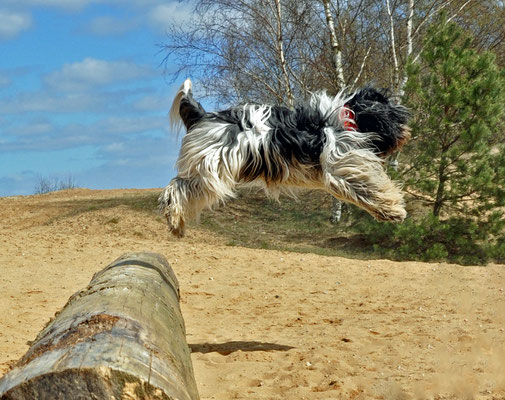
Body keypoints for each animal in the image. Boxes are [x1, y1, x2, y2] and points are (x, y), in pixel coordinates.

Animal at [160, 78, 410, 236]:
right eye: (391, 112)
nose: (407, 127)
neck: (345, 119)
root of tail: (203, 117)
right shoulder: (341, 168)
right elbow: (368, 190)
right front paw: (393, 211)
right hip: (210, 170)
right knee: (175, 190)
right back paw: (174, 220)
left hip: (207, 171)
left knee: (180, 187)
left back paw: (178, 222)